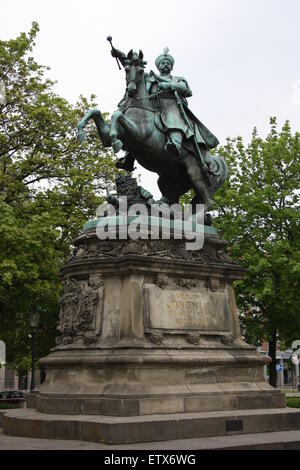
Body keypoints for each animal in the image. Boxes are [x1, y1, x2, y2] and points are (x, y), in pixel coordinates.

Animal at [77, 50, 227, 211]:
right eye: (126, 69)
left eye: (140, 70)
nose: (131, 90)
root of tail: (213, 159)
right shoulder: (107, 138)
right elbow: (95, 112)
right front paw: (80, 131)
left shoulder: (138, 134)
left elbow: (116, 116)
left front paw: (115, 141)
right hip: (168, 181)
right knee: (173, 200)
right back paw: (158, 206)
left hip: (195, 173)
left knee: (207, 202)